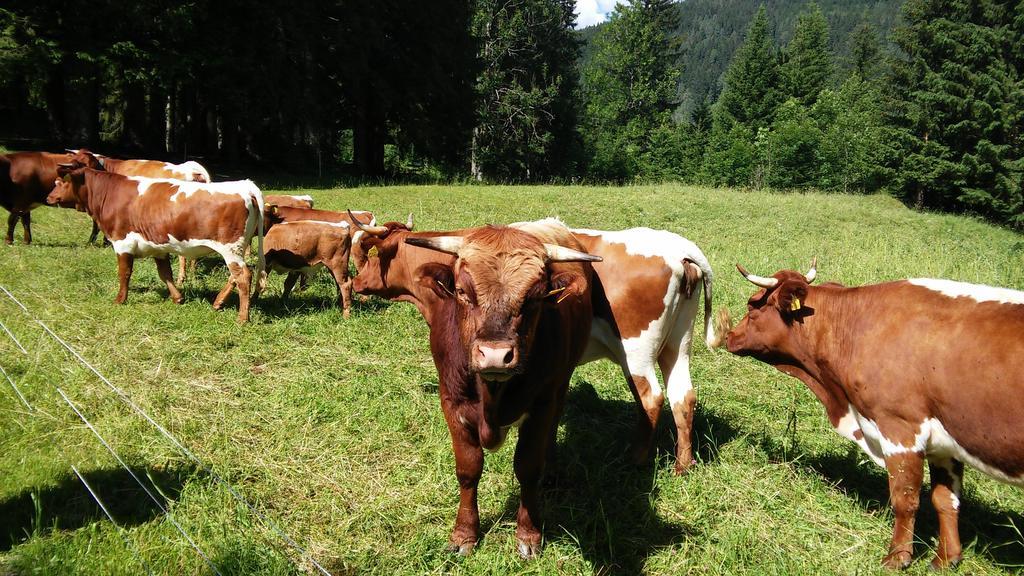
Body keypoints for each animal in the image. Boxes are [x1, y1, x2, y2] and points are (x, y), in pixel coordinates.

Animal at [47, 166, 264, 323]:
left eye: (61, 182)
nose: (48, 197)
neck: (110, 194)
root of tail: (245, 185)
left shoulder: (122, 243)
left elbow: (124, 274)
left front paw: (120, 299)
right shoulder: (157, 246)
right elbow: (165, 273)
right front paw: (177, 298)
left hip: (230, 248)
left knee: (243, 276)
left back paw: (242, 318)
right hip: (237, 248)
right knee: (236, 275)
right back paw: (218, 303)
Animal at [399, 219, 598, 557]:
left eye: (535, 298)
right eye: (462, 291)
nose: (494, 355)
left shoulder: (542, 404)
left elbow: (528, 467)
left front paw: (528, 534)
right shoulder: (451, 402)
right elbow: (468, 469)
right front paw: (464, 534)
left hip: (561, 384)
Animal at [720, 261, 1024, 569]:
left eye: (752, 307)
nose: (729, 336)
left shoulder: (900, 428)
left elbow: (904, 499)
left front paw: (897, 557)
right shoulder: (944, 443)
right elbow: (945, 500)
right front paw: (946, 559)